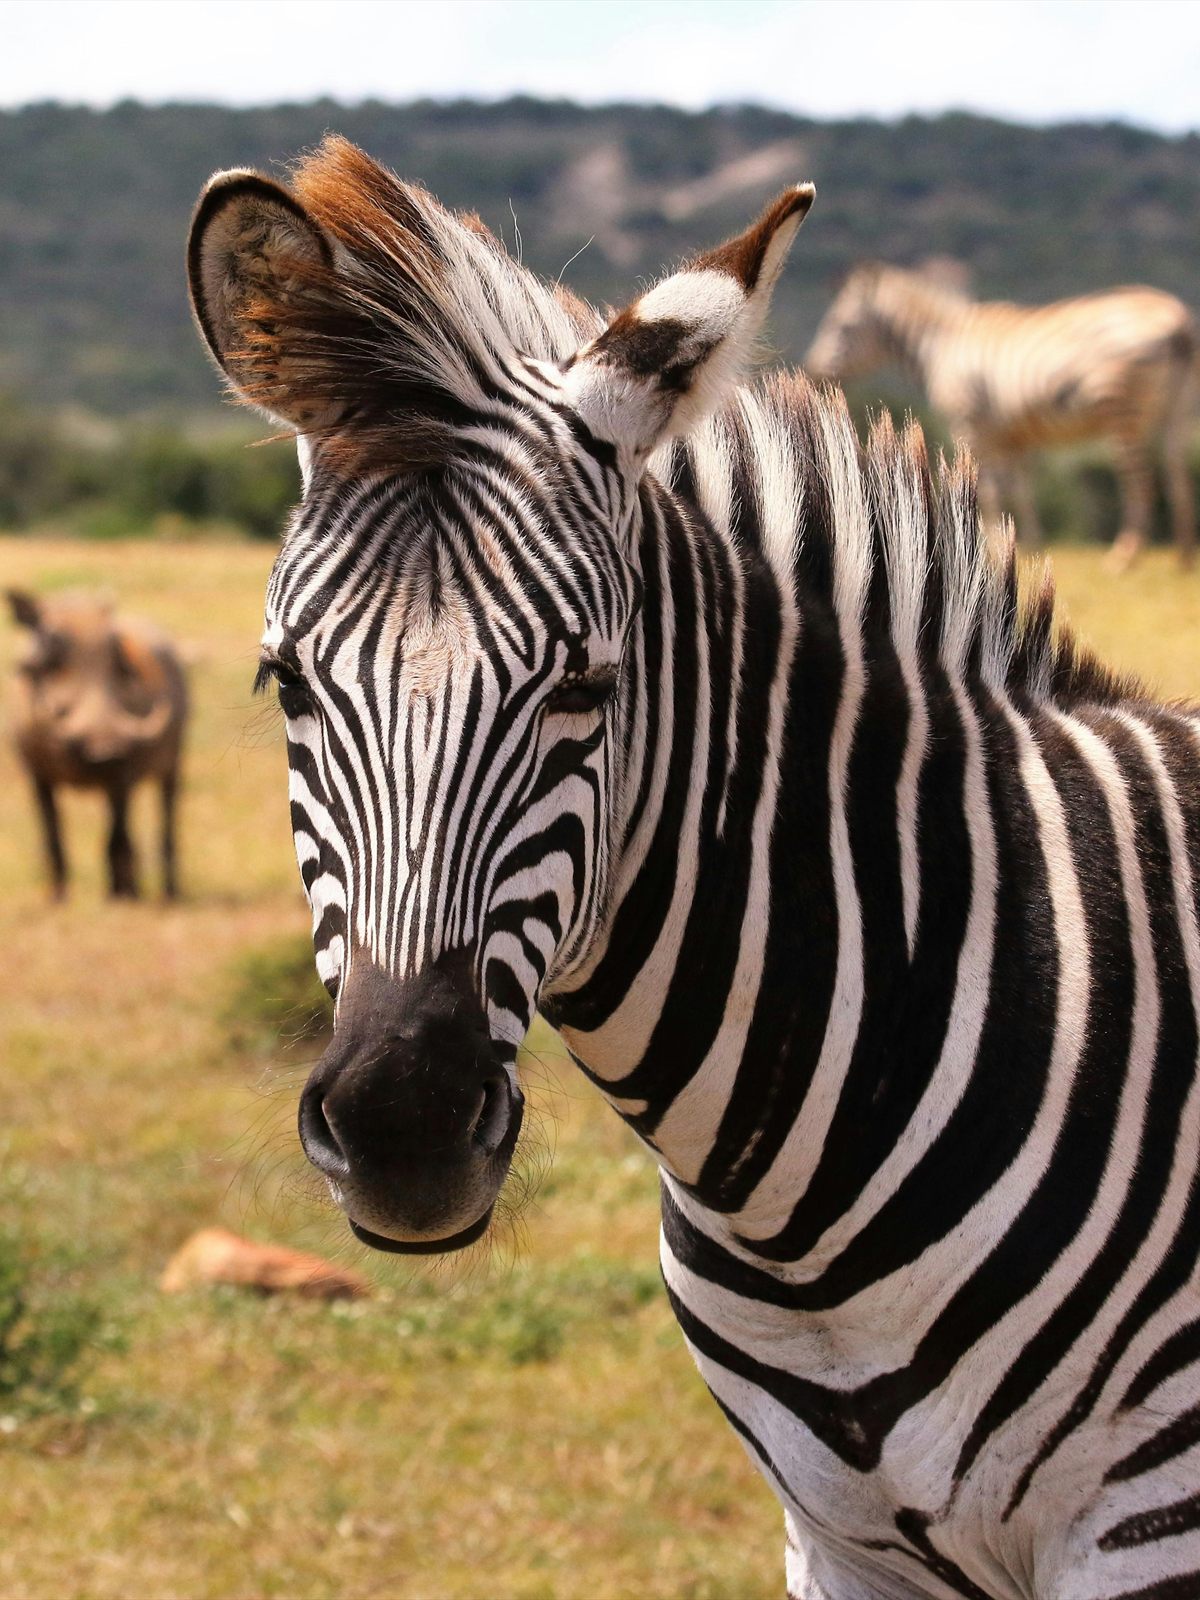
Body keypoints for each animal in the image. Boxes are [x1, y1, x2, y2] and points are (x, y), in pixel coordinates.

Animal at [805, 261, 1198, 570]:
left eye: (840, 326)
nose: (812, 372)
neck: (941, 345)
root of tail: (1177, 319)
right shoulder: (1012, 436)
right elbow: (1021, 492)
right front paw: (1028, 546)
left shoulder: (970, 427)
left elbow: (988, 489)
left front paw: (988, 548)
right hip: (1175, 413)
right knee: (1177, 473)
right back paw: (1182, 556)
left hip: (1122, 413)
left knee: (1140, 482)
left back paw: (1124, 556)